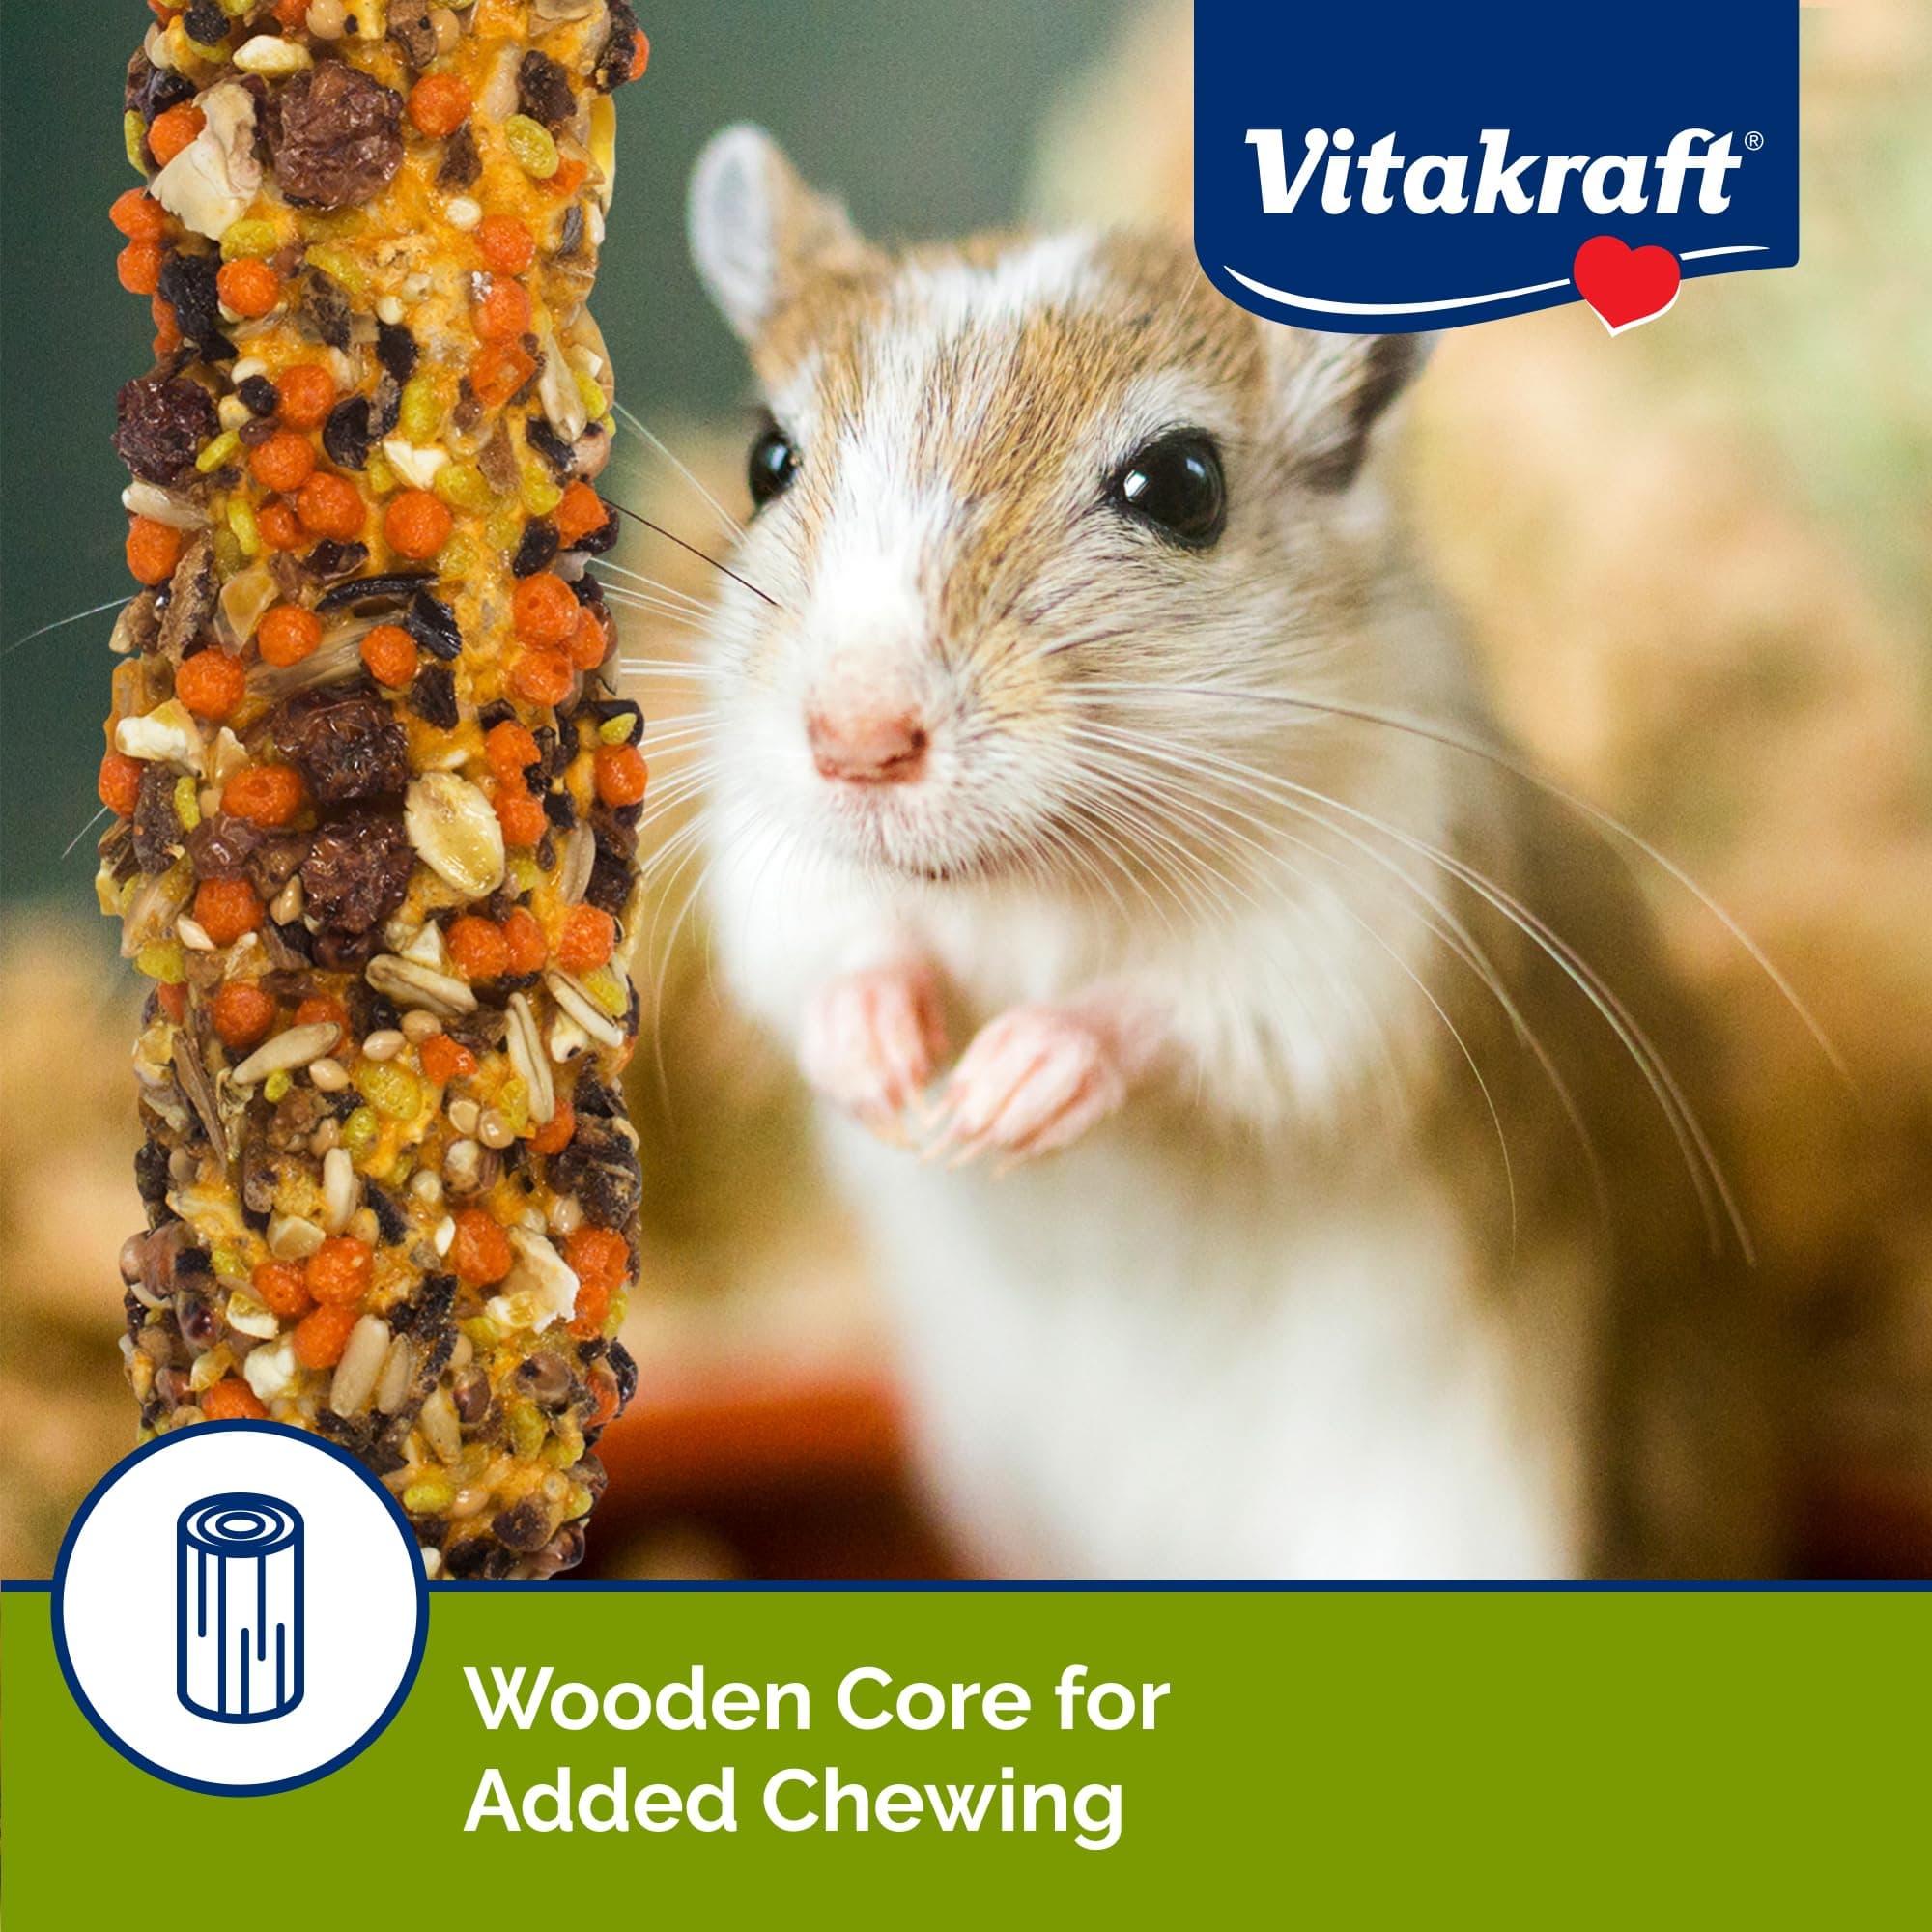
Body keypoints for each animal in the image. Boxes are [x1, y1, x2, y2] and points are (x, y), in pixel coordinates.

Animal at [674, 124, 1781, 1579]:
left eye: (1181, 487)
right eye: (767, 460)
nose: (854, 740)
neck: (1032, 878)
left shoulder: (1341, 946)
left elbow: (1169, 1011)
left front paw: (1001, 1098)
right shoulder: (775, 872)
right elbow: (831, 963)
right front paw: (894, 1077)